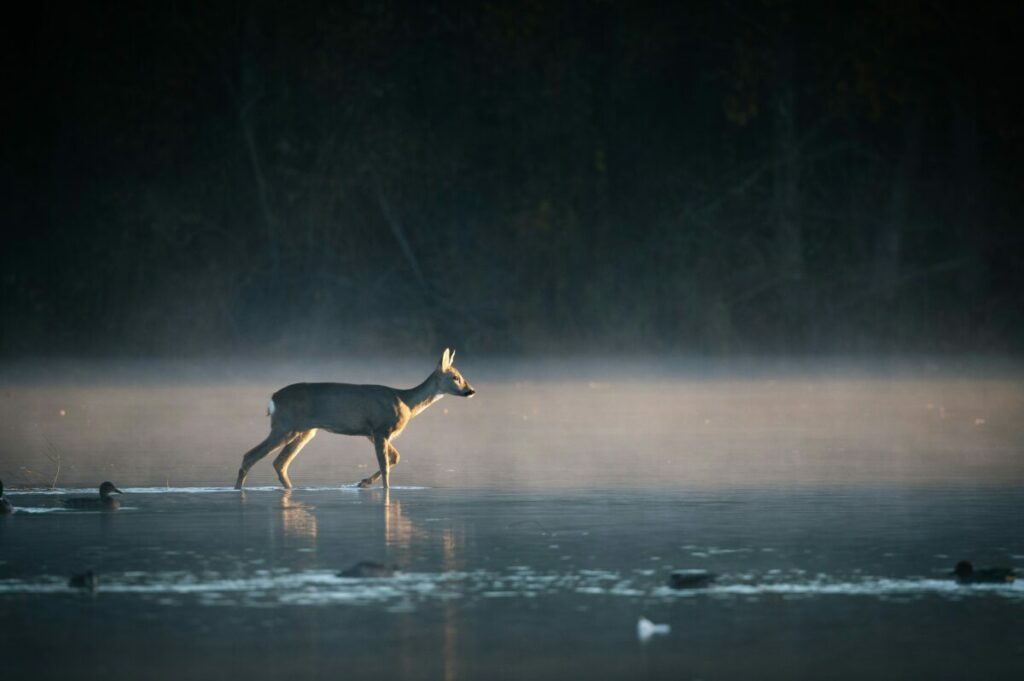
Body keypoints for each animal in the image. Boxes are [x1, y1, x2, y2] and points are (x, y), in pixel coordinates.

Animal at [234, 348, 475, 490]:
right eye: (455, 377)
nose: (471, 390)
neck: (406, 402)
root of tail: (272, 398)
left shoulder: (371, 433)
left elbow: (395, 458)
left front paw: (363, 482)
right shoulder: (380, 429)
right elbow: (386, 465)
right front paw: (382, 488)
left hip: (305, 431)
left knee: (279, 463)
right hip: (285, 426)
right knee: (250, 455)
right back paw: (238, 489)